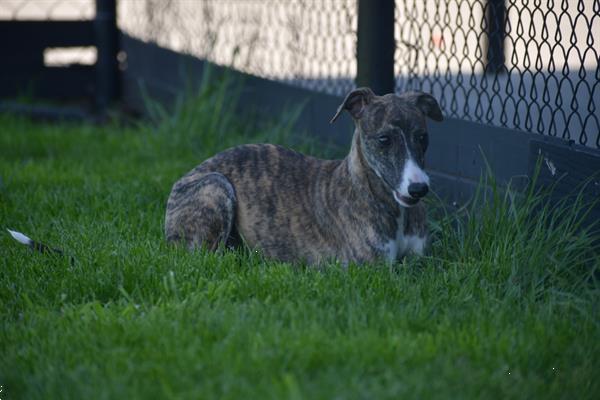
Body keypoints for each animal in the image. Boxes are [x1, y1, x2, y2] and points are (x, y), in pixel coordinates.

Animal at [163, 87, 440, 264]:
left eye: (423, 137)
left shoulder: (419, 260)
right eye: (384, 139)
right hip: (217, 186)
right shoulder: (375, 268)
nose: (419, 189)